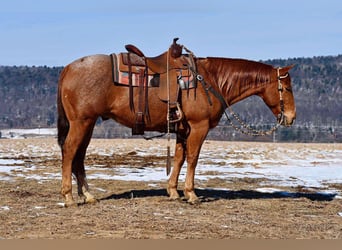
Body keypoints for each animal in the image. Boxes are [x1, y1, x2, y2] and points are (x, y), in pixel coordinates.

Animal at [57, 41, 296, 206]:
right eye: (287, 87)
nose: (291, 117)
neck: (211, 79)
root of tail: (67, 68)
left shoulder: (183, 129)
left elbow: (179, 158)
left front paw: (173, 191)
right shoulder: (199, 126)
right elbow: (193, 158)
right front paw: (191, 194)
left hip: (88, 124)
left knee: (79, 156)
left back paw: (88, 195)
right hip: (81, 122)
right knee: (69, 151)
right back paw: (68, 197)